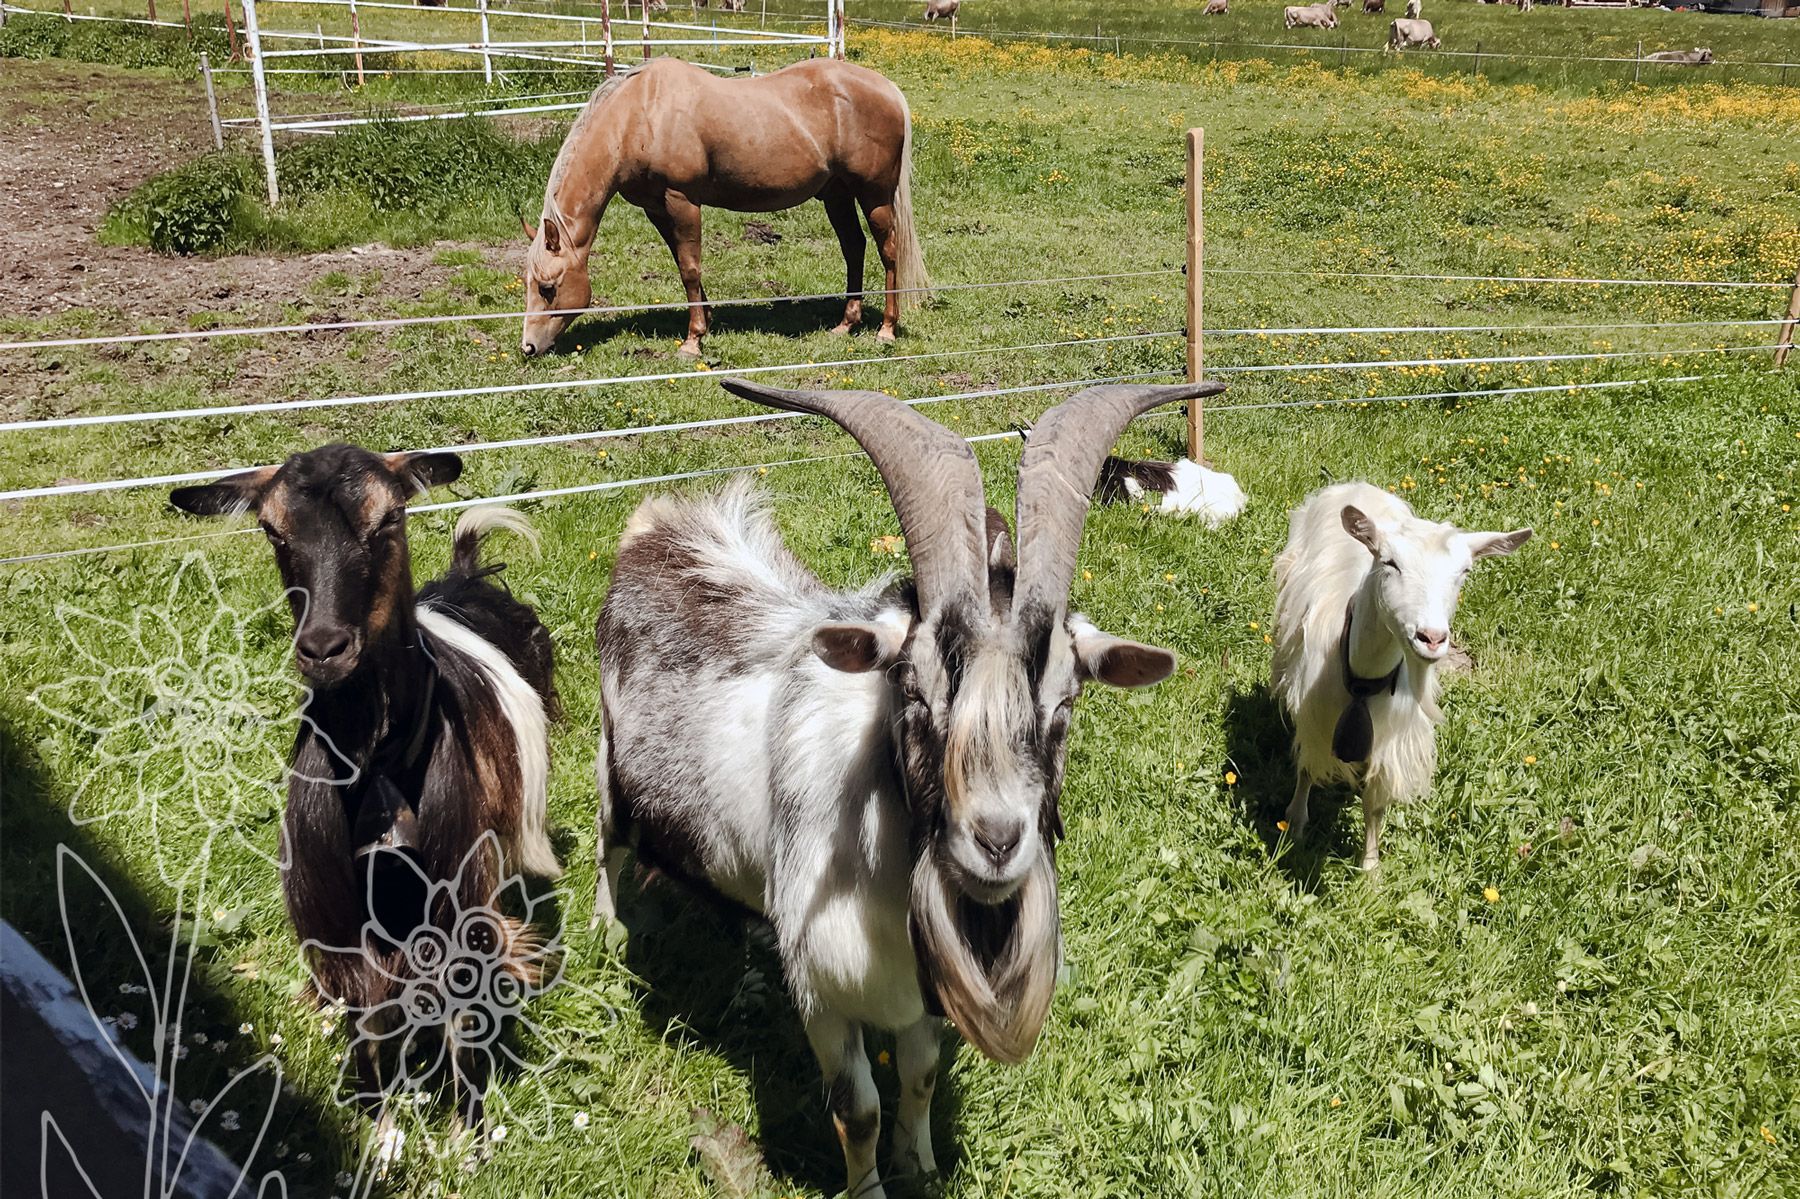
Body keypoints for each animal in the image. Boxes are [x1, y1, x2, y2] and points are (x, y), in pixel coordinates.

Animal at [170, 446, 561, 1135]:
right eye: (273, 530)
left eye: (389, 517)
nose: (324, 647)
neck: (376, 764)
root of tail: (463, 579)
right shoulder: (336, 919)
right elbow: (364, 1021)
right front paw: (379, 1130)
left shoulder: (459, 897)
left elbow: (463, 1011)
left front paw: (470, 1133)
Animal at [520, 58, 930, 358]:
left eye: (547, 287)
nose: (529, 347)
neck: (641, 115)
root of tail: (887, 89)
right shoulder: (656, 208)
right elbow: (683, 264)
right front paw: (707, 321)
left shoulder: (682, 201)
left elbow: (689, 267)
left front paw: (693, 341)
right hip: (837, 195)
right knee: (854, 248)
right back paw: (846, 324)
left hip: (874, 196)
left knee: (888, 252)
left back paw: (886, 330)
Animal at [593, 380, 1219, 1198]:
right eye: (916, 696)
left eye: (1064, 706)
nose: (997, 841)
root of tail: (659, 521)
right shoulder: (824, 994)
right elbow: (855, 1109)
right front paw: (869, 1184)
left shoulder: (921, 995)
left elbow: (918, 1075)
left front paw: (917, 1161)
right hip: (608, 759)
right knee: (605, 840)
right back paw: (606, 933)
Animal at [1270, 482, 1529, 874]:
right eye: (1390, 562)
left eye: (1465, 571)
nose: (1432, 637)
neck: (1362, 678)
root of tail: (1357, 484)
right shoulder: (1314, 717)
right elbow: (1307, 771)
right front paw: (1295, 825)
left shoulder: (1391, 743)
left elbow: (1374, 806)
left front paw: (1370, 869)